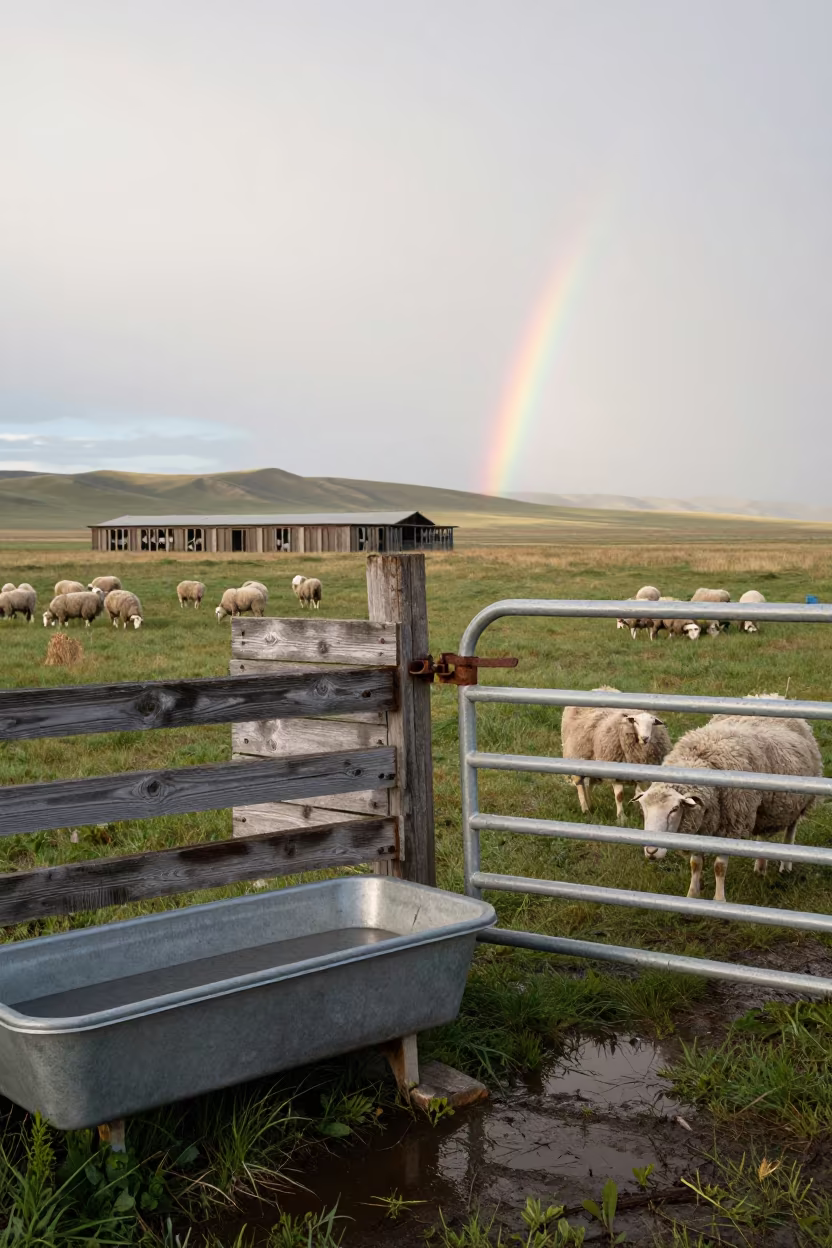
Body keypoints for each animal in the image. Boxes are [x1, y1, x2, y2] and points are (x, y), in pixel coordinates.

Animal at [561, 686, 672, 823]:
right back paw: (585, 809)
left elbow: (639, 792)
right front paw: (621, 817)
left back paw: (591, 804)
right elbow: (619, 796)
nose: (645, 738)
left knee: (590, 784)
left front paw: (639, 811)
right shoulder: (616, 768)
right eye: (635, 722)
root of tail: (598, 688)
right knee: (580, 784)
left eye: (652, 723)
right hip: (576, 753)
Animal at [636, 707, 822, 901]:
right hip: (764, 809)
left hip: (799, 801)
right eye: (643, 809)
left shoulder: (730, 825)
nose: (651, 851)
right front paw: (692, 895)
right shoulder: (701, 824)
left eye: (674, 809)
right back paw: (760, 867)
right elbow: (695, 864)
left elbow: (720, 867)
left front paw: (719, 900)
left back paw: (785, 866)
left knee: (791, 828)